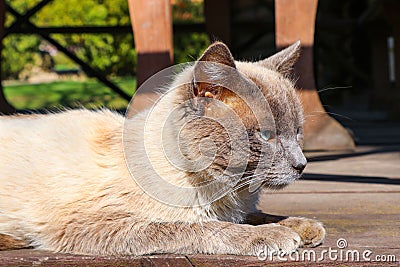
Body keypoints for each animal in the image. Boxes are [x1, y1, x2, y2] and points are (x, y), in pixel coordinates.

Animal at [0, 42, 324, 258]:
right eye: (266, 135)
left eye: (297, 131)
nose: (302, 165)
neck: (227, 192)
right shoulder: (97, 223)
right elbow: (200, 228)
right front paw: (279, 235)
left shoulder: (233, 208)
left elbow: (253, 216)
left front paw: (303, 227)